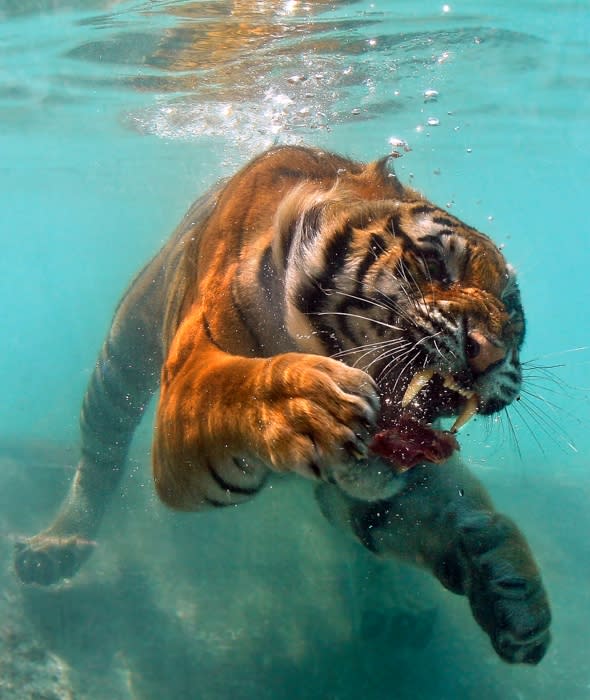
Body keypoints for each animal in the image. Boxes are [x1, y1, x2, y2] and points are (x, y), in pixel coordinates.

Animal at [13, 145, 552, 664]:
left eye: (513, 311)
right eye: (436, 264)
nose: (490, 354)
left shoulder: (383, 481)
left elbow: (439, 513)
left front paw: (510, 587)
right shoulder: (186, 380)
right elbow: (236, 386)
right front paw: (311, 405)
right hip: (122, 354)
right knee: (100, 453)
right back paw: (55, 547)